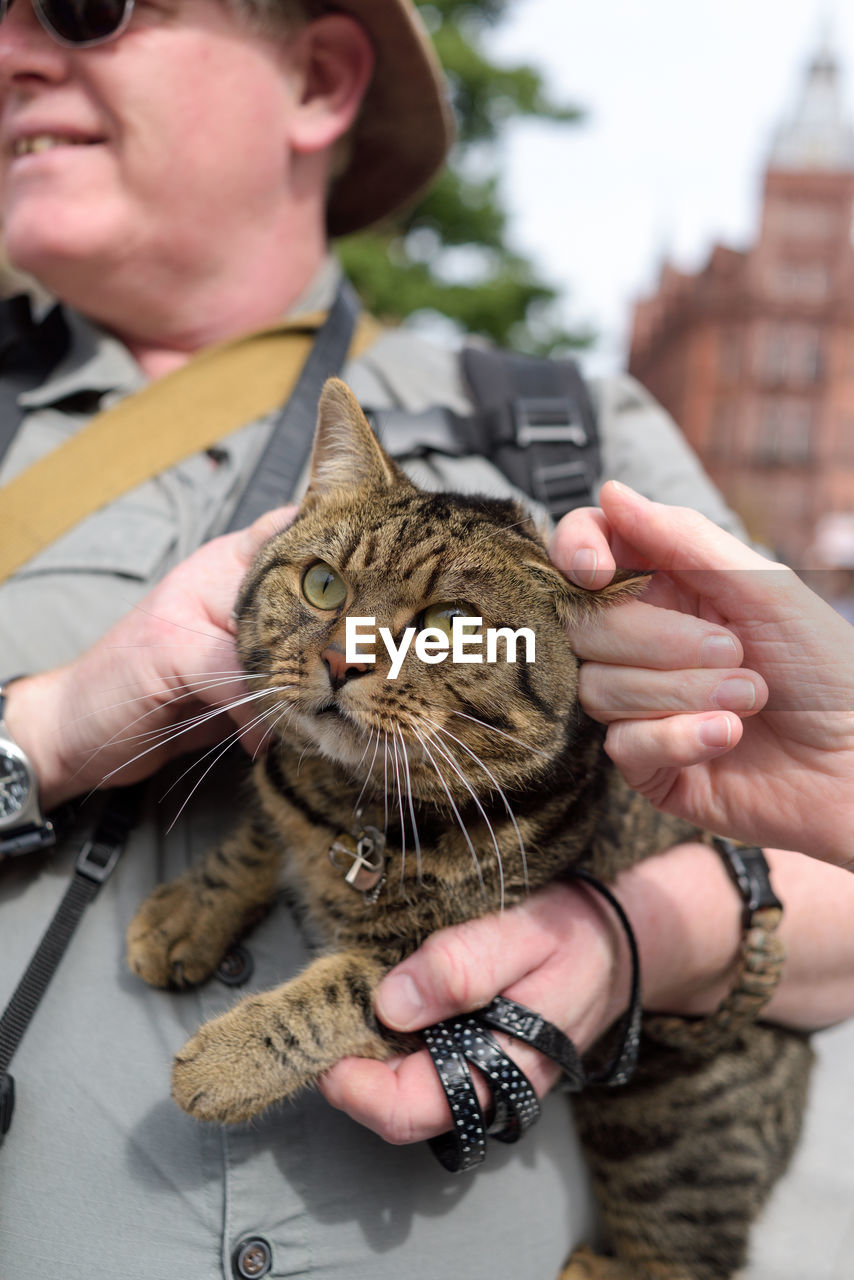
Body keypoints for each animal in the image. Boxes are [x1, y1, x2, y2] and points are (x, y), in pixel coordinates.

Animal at [125, 376, 809, 1280]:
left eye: (448, 627)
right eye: (323, 586)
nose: (342, 660)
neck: (357, 808)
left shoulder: (443, 973)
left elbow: (332, 996)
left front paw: (227, 1061)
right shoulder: (292, 792)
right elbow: (260, 835)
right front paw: (186, 916)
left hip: (665, 1136)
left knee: (689, 1255)